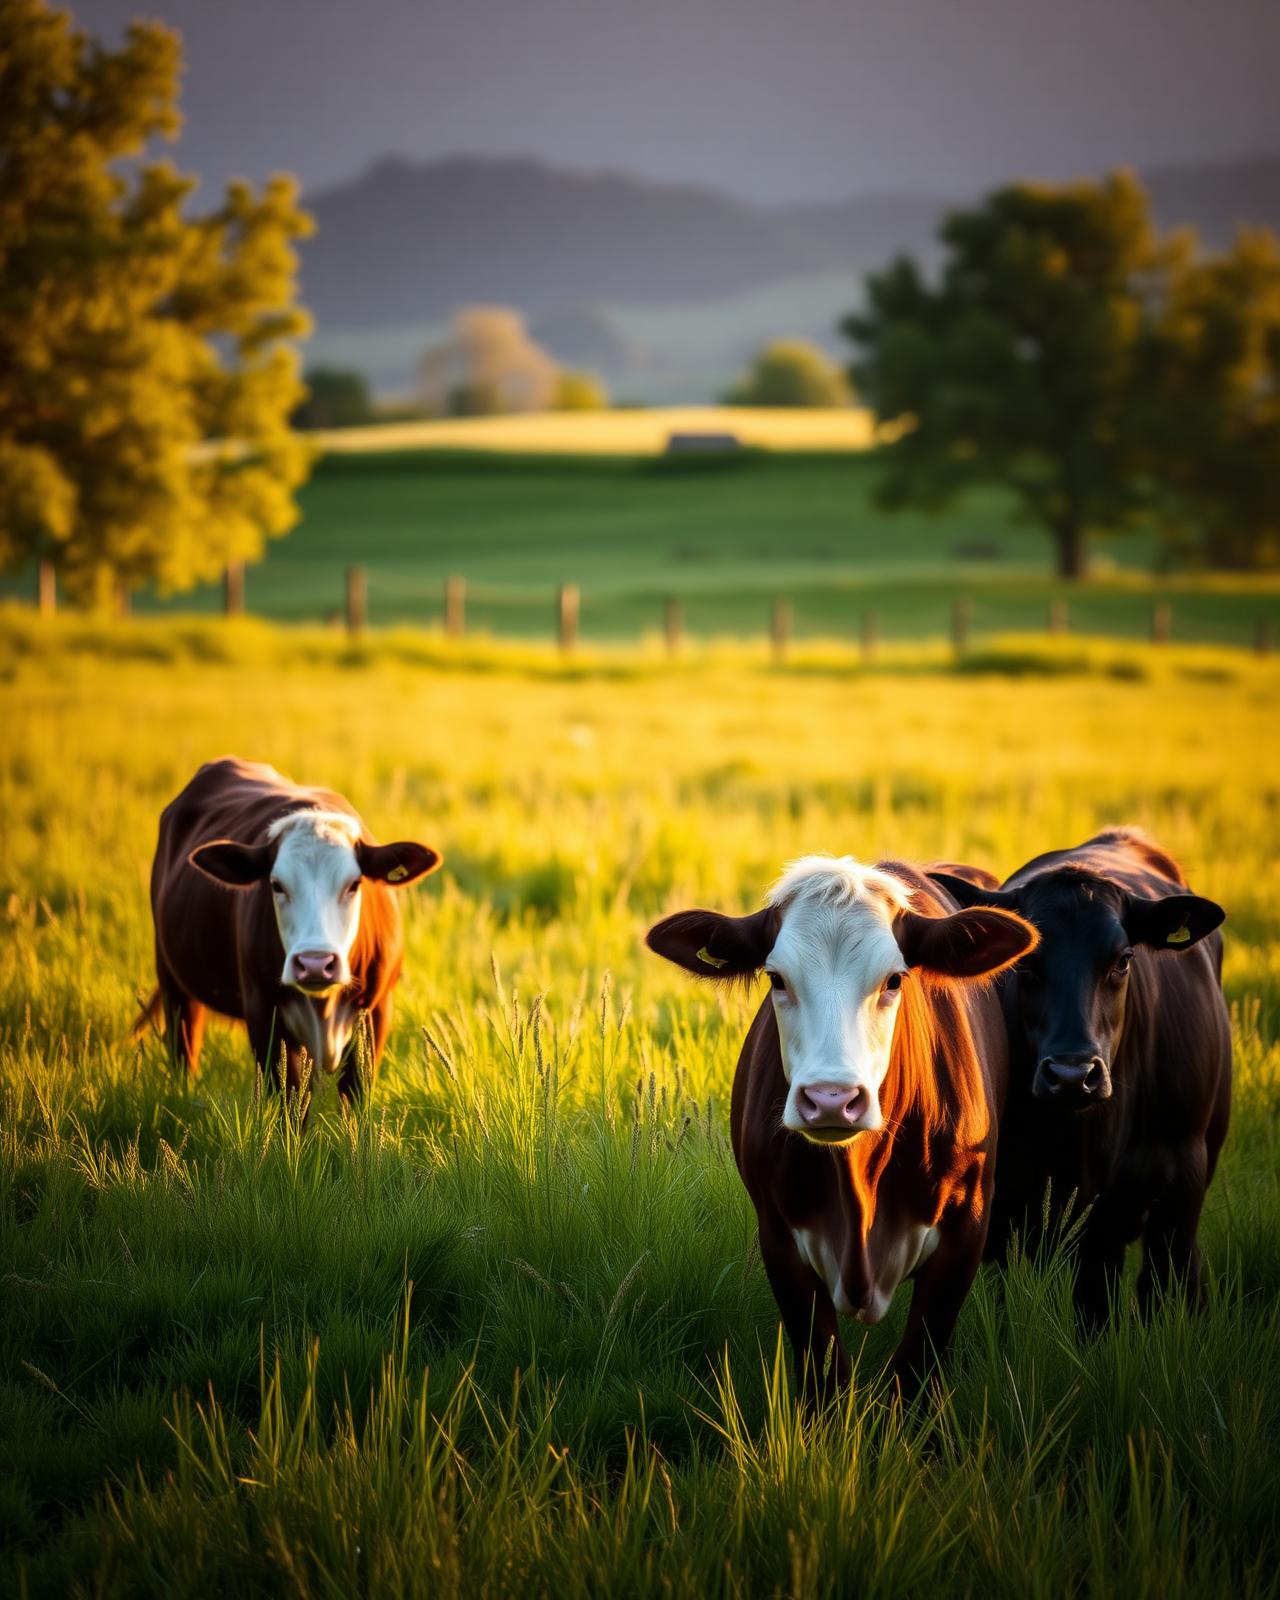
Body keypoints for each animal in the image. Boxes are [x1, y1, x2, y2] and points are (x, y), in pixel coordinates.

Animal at [134, 758, 441, 1100]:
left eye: (354, 884)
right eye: (277, 885)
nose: (315, 964)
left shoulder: (375, 1014)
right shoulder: (265, 1016)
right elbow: (290, 1101)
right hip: (173, 979)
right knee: (184, 1050)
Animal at [646, 855, 1038, 1401]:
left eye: (894, 980)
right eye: (777, 979)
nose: (831, 1100)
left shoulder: (966, 1233)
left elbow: (913, 1371)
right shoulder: (779, 1239)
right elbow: (824, 1375)